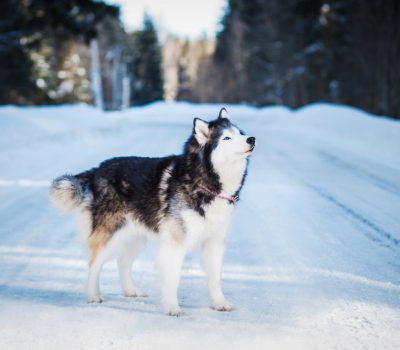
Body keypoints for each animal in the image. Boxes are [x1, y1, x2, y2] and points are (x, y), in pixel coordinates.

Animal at [50, 108, 255, 316]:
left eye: (240, 133)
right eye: (226, 138)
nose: (251, 139)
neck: (204, 181)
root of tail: (97, 169)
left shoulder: (214, 242)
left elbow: (215, 278)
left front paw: (219, 303)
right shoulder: (174, 244)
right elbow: (173, 279)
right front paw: (172, 307)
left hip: (134, 237)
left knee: (122, 262)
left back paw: (131, 291)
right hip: (110, 234)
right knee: (94, 264)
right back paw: (93, 295)